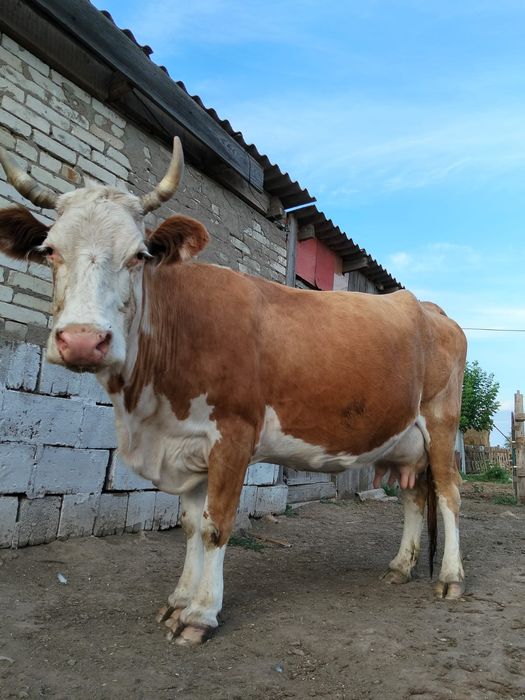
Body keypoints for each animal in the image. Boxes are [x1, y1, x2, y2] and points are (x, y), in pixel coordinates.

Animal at [0, 139, 467, 646]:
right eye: (49, 251)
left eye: (139, 255)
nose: (83, 340)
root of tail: (427, 306)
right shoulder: (186, 443)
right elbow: (188, 525)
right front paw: (178, 601)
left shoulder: (234, 436)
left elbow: (215, 526)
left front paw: (201, 614)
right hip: (405, 439)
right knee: (414, 498)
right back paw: (400, 567)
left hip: (441, 423)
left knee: (448, 493)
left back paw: (451, 578)